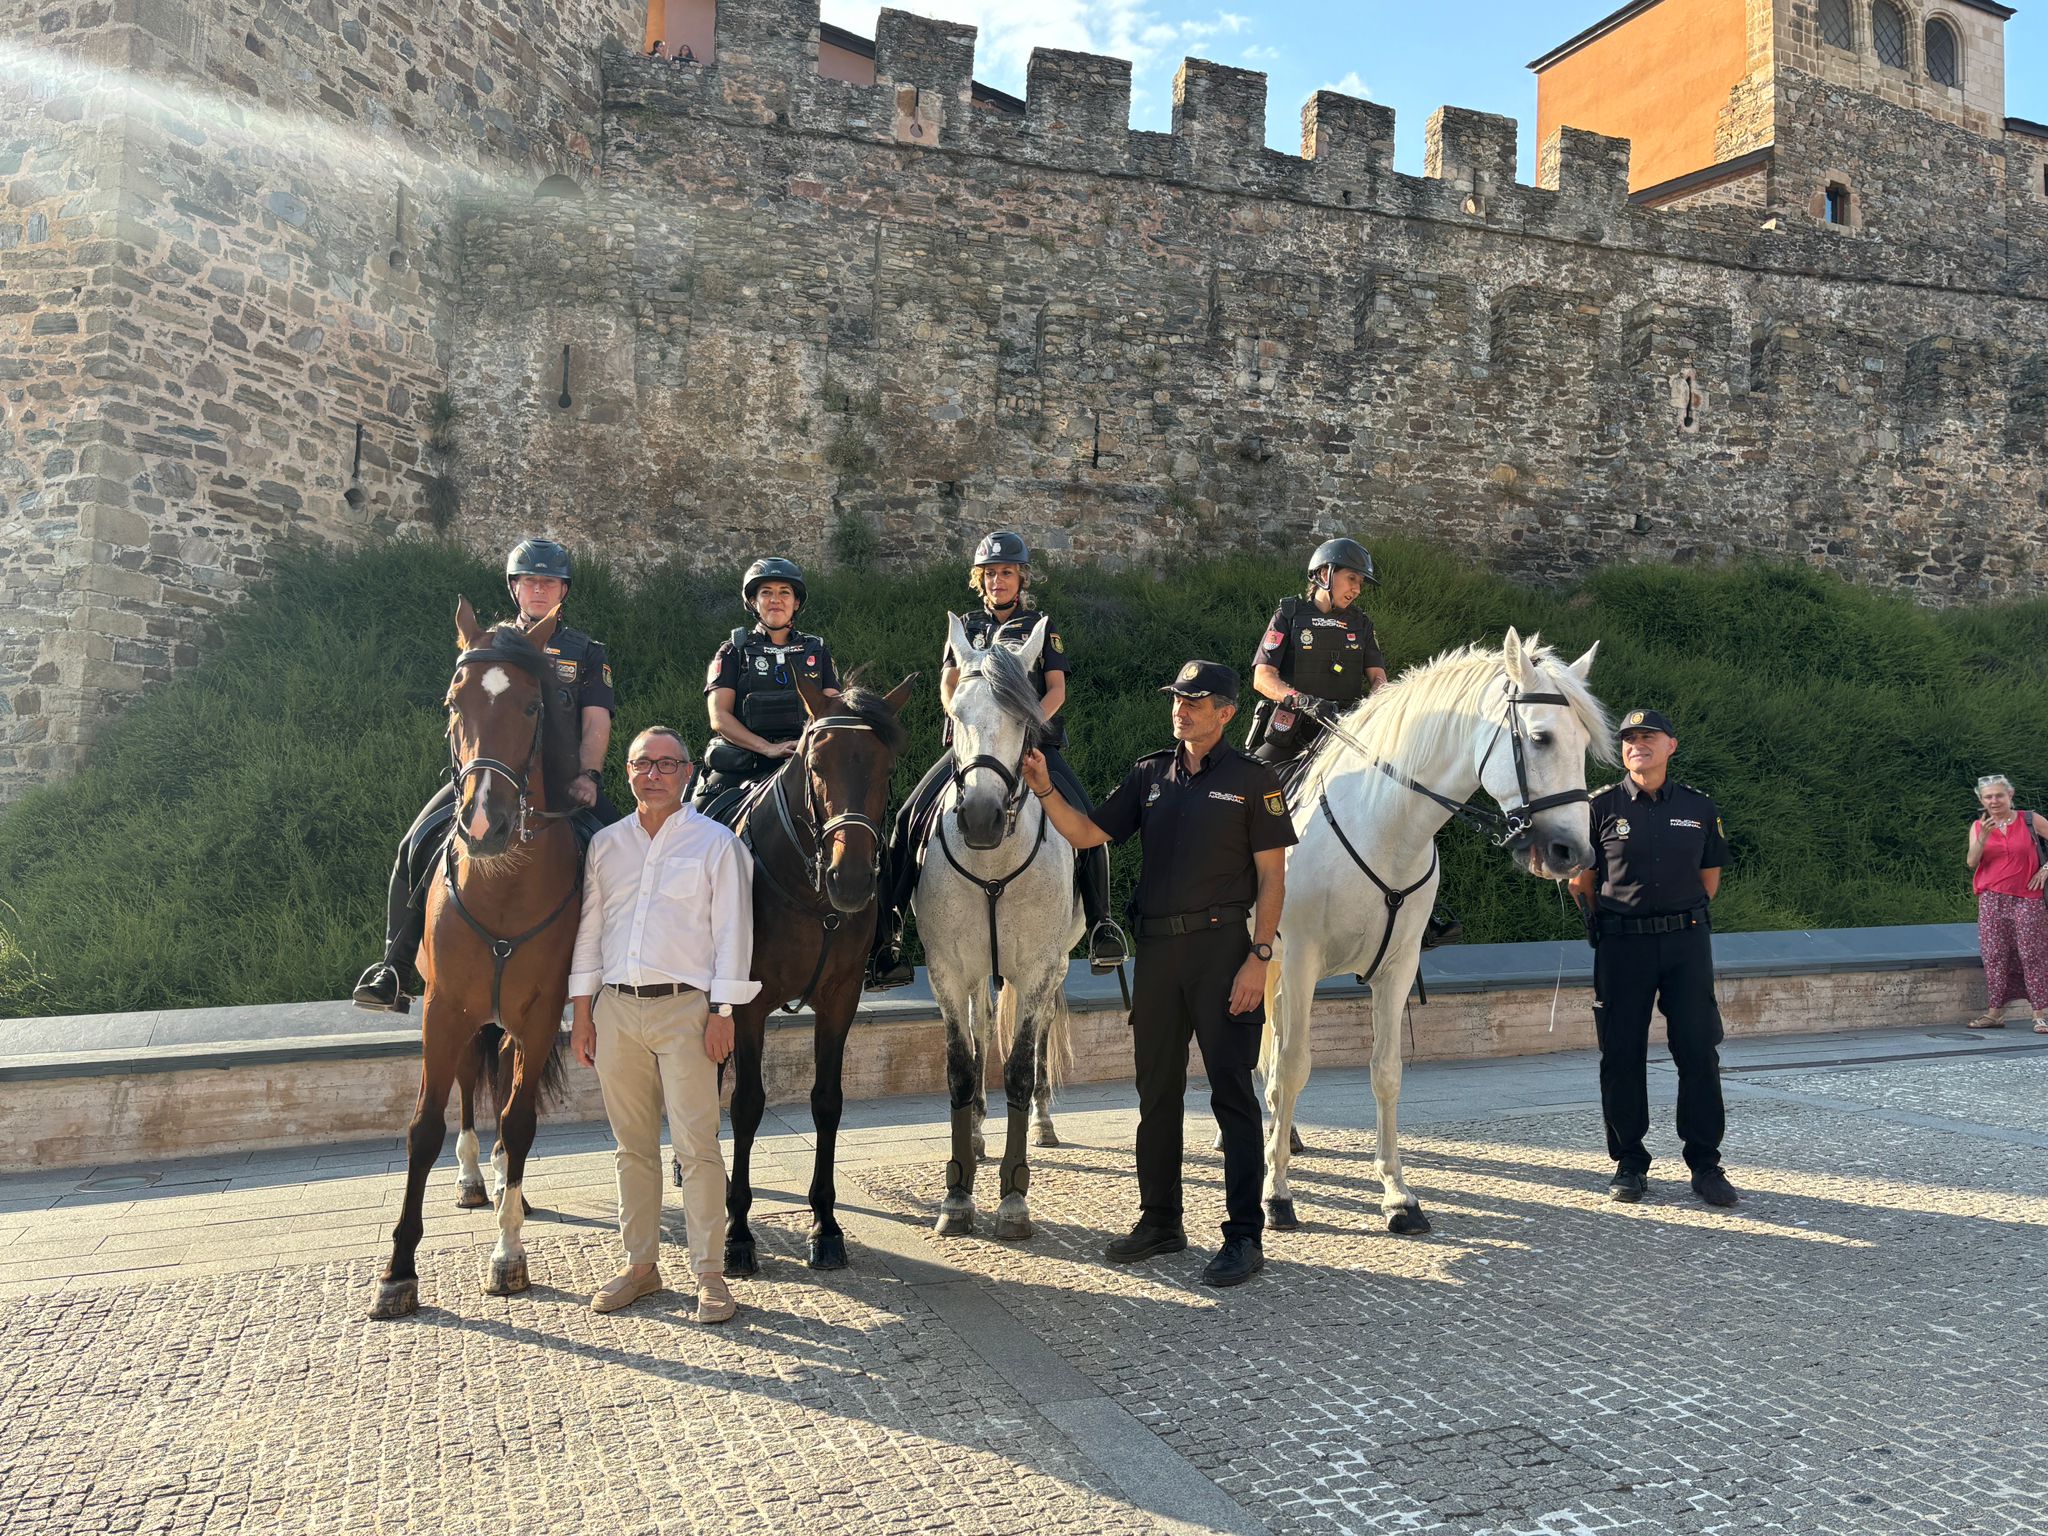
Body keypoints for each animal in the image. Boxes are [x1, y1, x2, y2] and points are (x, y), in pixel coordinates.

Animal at [364, 602, 577, 1327]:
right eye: (453, 703)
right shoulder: (444, 1009)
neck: (503, 885)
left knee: (506, 1095)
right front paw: (398, 1271)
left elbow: (519, 1119)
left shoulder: (537, 1016)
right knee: (460, 1085)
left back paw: (512, 1186)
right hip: (461, 1014)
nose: (485, 823)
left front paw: (508, 1254)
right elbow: (423, 1126)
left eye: (536, 705)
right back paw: (472, 1178)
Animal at [724, 671, 909, 1277]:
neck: (809, 895)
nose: (848, 879)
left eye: (885, 766)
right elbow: (746, 1105)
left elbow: (827, 1103)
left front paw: (825, 1225)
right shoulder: (747, 1004)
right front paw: (737, 1233)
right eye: (815, 763)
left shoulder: (839, 998)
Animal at [913, 614, 1073, 1236]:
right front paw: (957, 1197)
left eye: (1023, 717)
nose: (980, 817)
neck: (992, 865)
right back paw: (980, 1130)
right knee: (982, 1024)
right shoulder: (947, 970)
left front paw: (1012, 1200)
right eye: (956, 713)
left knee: (1041, 1030)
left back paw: (1044, 1122)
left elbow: (1021, 1071)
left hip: (1058, 965)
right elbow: (961, 1067)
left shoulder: (1037, 968)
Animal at [1261, 626, 1613, 1236]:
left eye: (1584, 744)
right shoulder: (1303, 959)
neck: (1383, 824)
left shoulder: (1397, 967)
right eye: (1541, 738)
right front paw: (1278, 1193)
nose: (1573, 852)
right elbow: (1296, 1064)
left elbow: (1386, 1072)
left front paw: (1398, 1196)